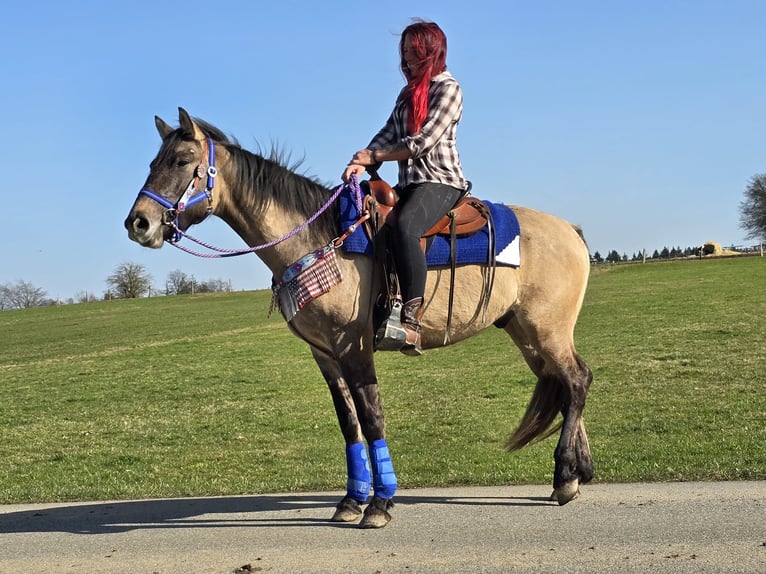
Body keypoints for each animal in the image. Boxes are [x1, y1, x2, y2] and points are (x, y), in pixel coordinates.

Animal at [124, 108, 594, 528]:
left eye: (181, 161)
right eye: (152, 163)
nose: (139, 223)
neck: (318, 240)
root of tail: (570, 230)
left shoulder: (355, 346)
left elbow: (371, 417)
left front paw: (380, 504)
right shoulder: (324, 354)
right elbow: (349, 423)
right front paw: (352, 500)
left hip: (546, 330)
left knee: (576, 380)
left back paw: (564, 475)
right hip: (526, 331)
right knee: (563, 383)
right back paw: (576, 474)